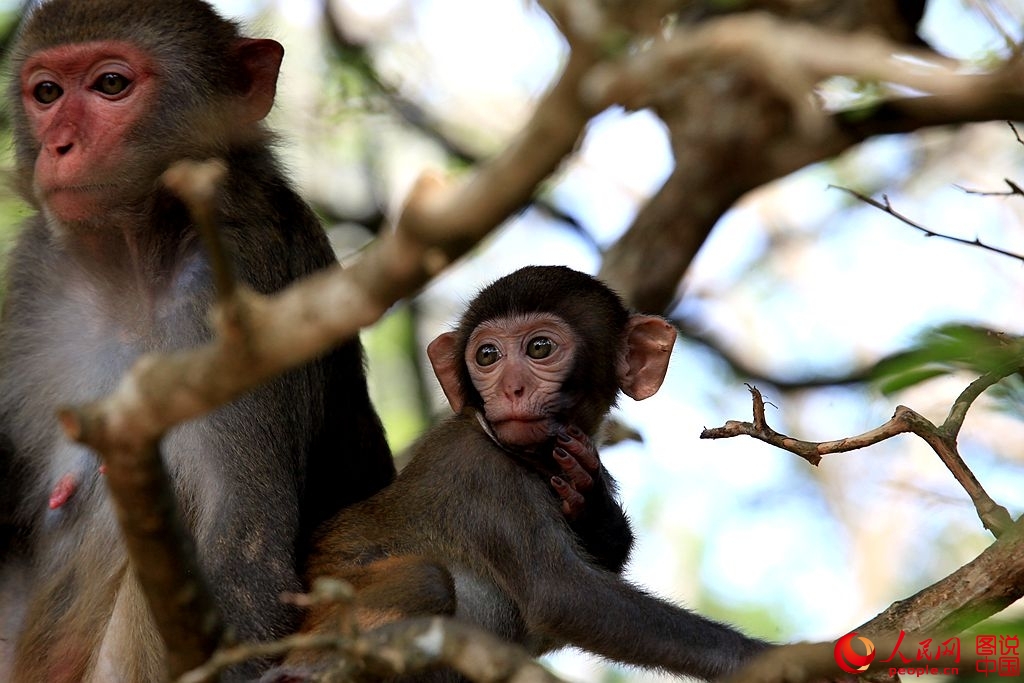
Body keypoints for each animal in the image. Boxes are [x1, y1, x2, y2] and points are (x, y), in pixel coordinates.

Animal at [0, 2, 399, 679]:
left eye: (111, 84)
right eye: (46, 93)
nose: (59, 146)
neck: (134, 267)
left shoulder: (245, 279)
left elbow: (245, 555)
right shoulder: (33, 277)